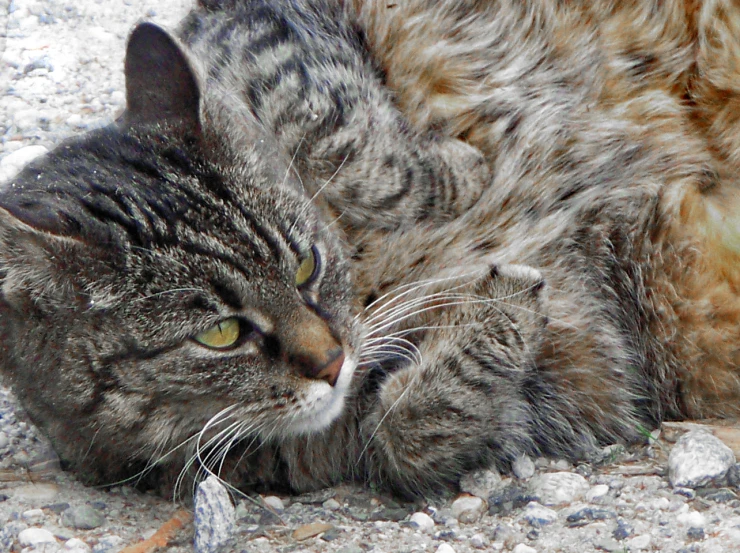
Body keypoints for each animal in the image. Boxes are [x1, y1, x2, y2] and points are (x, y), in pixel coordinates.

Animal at [0, 0, 736, 496]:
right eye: (220, 333)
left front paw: (466, 165)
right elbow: (413, 429)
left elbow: (344, 138)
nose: (332, 362)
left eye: (305, 264)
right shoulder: (584, 366)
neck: (361, 268)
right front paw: (499, 303)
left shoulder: (266, 24)